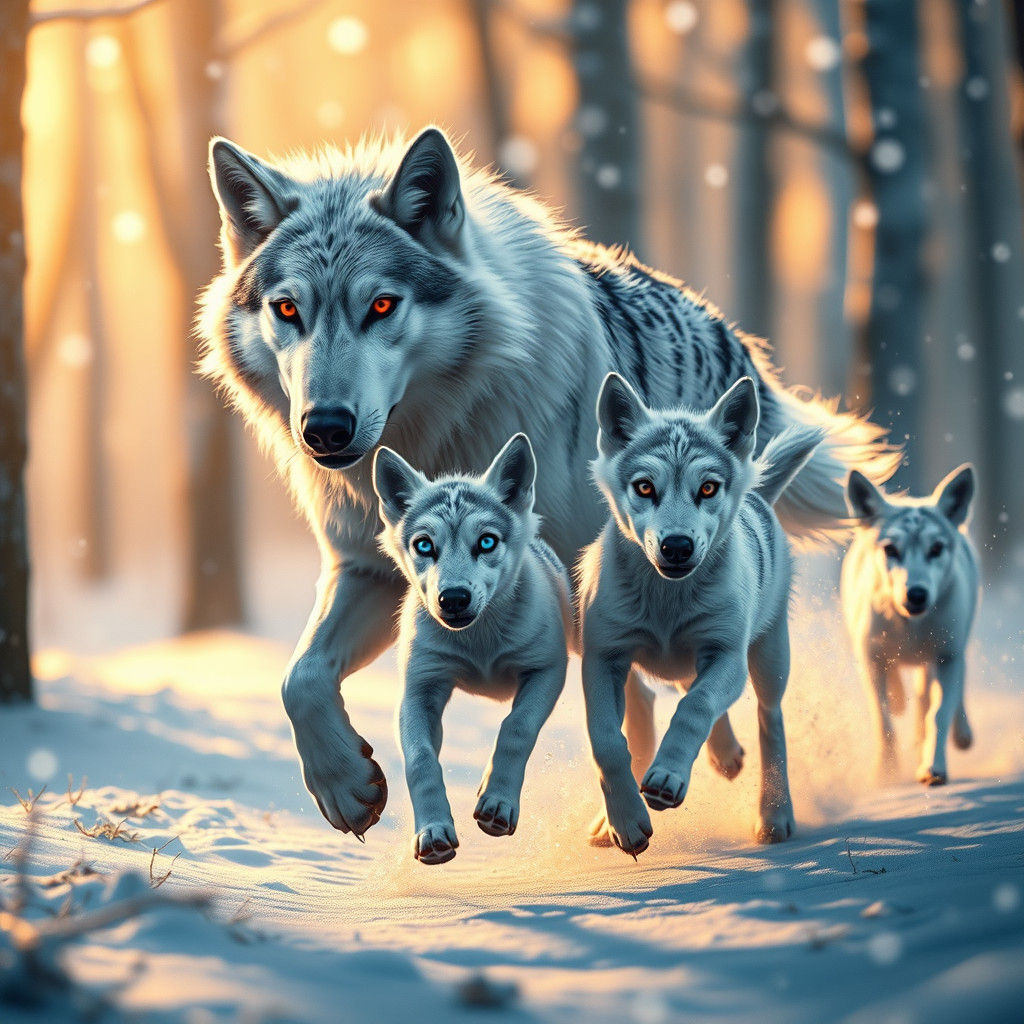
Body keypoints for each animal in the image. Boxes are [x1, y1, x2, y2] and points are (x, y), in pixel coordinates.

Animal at [372, 433, 571, 864]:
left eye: (486, 541)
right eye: (424, 545)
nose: (454, 599)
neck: (480, 644)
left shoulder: (547, 670)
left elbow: (516, 728)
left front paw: (498, 804)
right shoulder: (419, 690)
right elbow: (421, 761)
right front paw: (433, 832)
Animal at [577, 374, 822, 856]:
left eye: (707, 488)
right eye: (644, 487)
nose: (676, 546)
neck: (666, 601)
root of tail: (758, 495)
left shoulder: (726, 656)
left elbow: (695, 708)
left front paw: (667, 777)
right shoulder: (603, 658)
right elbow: (608, 742)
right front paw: (626, 820)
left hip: (769, 656)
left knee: (769, 720)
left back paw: (773, 813)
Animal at [841, 465, 978, 786]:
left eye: (937, 548)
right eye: (890, 549)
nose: (916, 594)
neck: (910, 627)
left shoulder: (946, 655)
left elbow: (938, 714)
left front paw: (933, 767)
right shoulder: (871, 658)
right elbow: (884, 720)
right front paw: (885, 771)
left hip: (955, 643)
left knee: (941, 691)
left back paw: (959, 733)